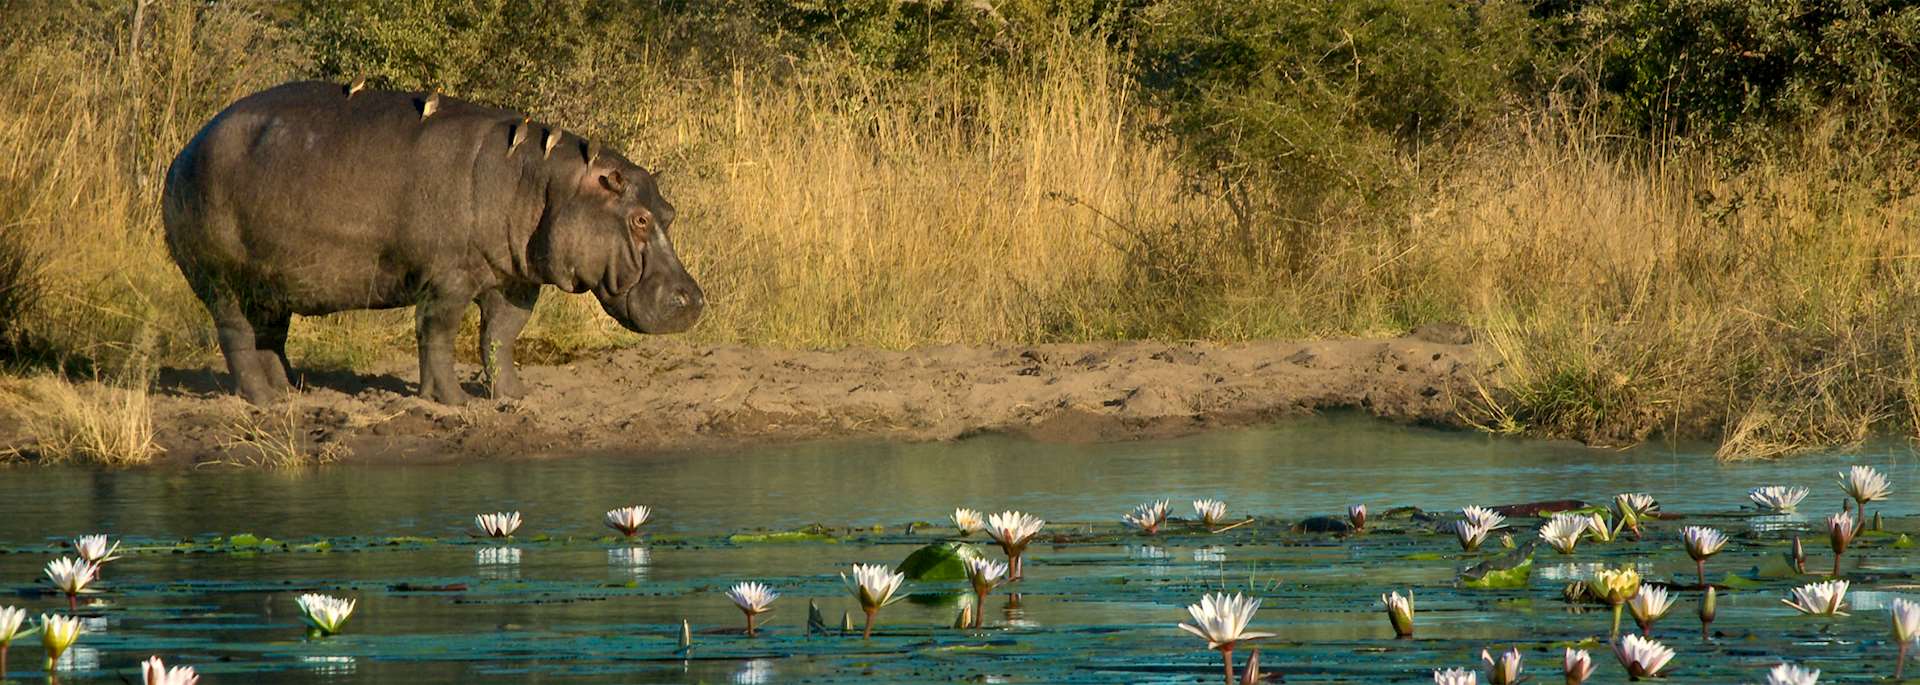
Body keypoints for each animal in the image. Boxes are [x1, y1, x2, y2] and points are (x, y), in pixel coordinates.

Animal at [162, 80, 702, 405]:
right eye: (638, 219)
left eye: (670, 211)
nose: (694, 298)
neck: (546, 183)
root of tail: (185, 149)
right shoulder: (448, 280)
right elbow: (438, 334)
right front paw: (452, 401)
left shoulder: (514, 280)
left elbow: (501, 335)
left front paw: (513, 397)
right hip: (219, 278)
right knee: (235, 334)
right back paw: (262, 400)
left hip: (271, 284)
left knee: (270, 336)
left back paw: (292, 391)